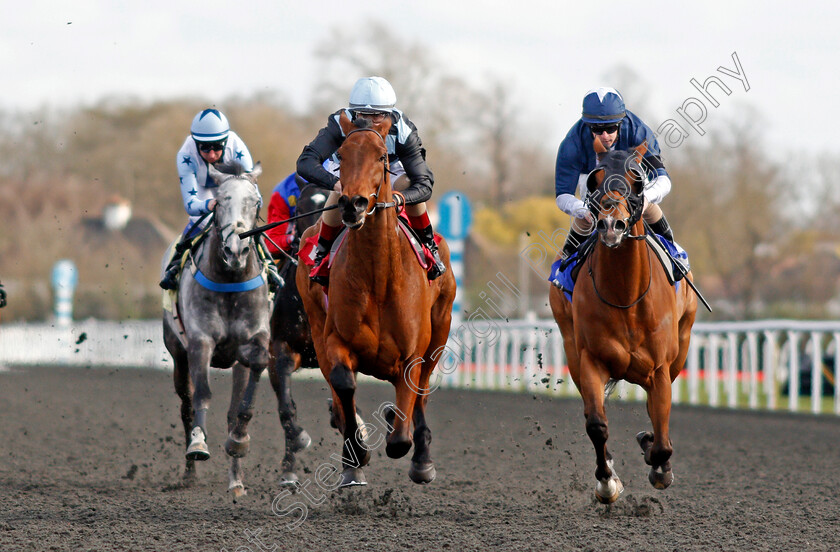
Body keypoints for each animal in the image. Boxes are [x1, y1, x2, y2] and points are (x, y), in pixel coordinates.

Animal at [162, 160, 270, 496]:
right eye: (220, 202)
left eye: (256, 202)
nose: (236, 249)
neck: (230, 280)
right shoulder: (200, 342)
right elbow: (202, 394)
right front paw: (198, 444)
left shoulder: (253, 340)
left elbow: (241, 407)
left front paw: (238, 443)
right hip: (177, 353)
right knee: (186, 404)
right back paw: (189, 473)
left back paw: (236, 480)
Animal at [296, 112, 456, 488]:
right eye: (341, 154)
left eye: (383, 156)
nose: (352, 204)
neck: (379, 278)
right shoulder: (334, 339)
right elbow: (343, 383)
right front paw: (355, 454)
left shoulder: (414, 352)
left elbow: (400, 436)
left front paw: (402, 435)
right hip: (315, 326)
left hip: (440, 332)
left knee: (421, 392)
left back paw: (421, 458)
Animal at [548, 140, 700, 502]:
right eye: (595, 179)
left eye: (637, 180)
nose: (610, 224)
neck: (625, 297)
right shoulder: (590, 359)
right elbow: (596, 424)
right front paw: (607, 482)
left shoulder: (660, 368)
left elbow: (661, 430)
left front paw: (659, 464)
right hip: (571, 347)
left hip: (682, 346)